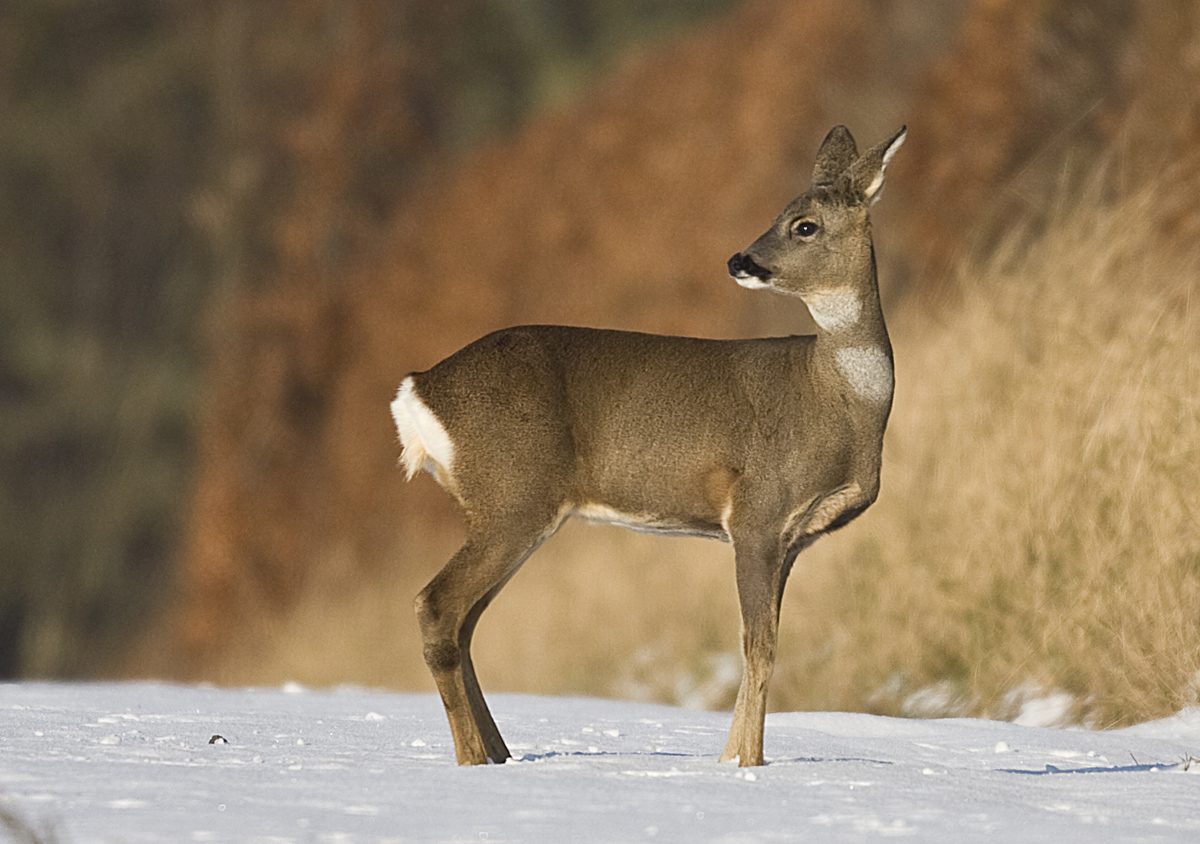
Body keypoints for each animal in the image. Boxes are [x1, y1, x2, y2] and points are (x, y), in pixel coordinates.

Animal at [391, 125, 906, 766]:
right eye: (782, 216)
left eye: (804, 224)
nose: (740, 260)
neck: (838, 400)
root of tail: (417, 387)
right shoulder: (758, 512)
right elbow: (758, 647)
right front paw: (749, 764)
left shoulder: (792, 538)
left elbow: (757, 645)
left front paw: (730, 761)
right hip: (513, 496)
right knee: (437, 607)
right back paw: (472, 761)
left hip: (501, 509)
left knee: (464, 623)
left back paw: (499, 754)